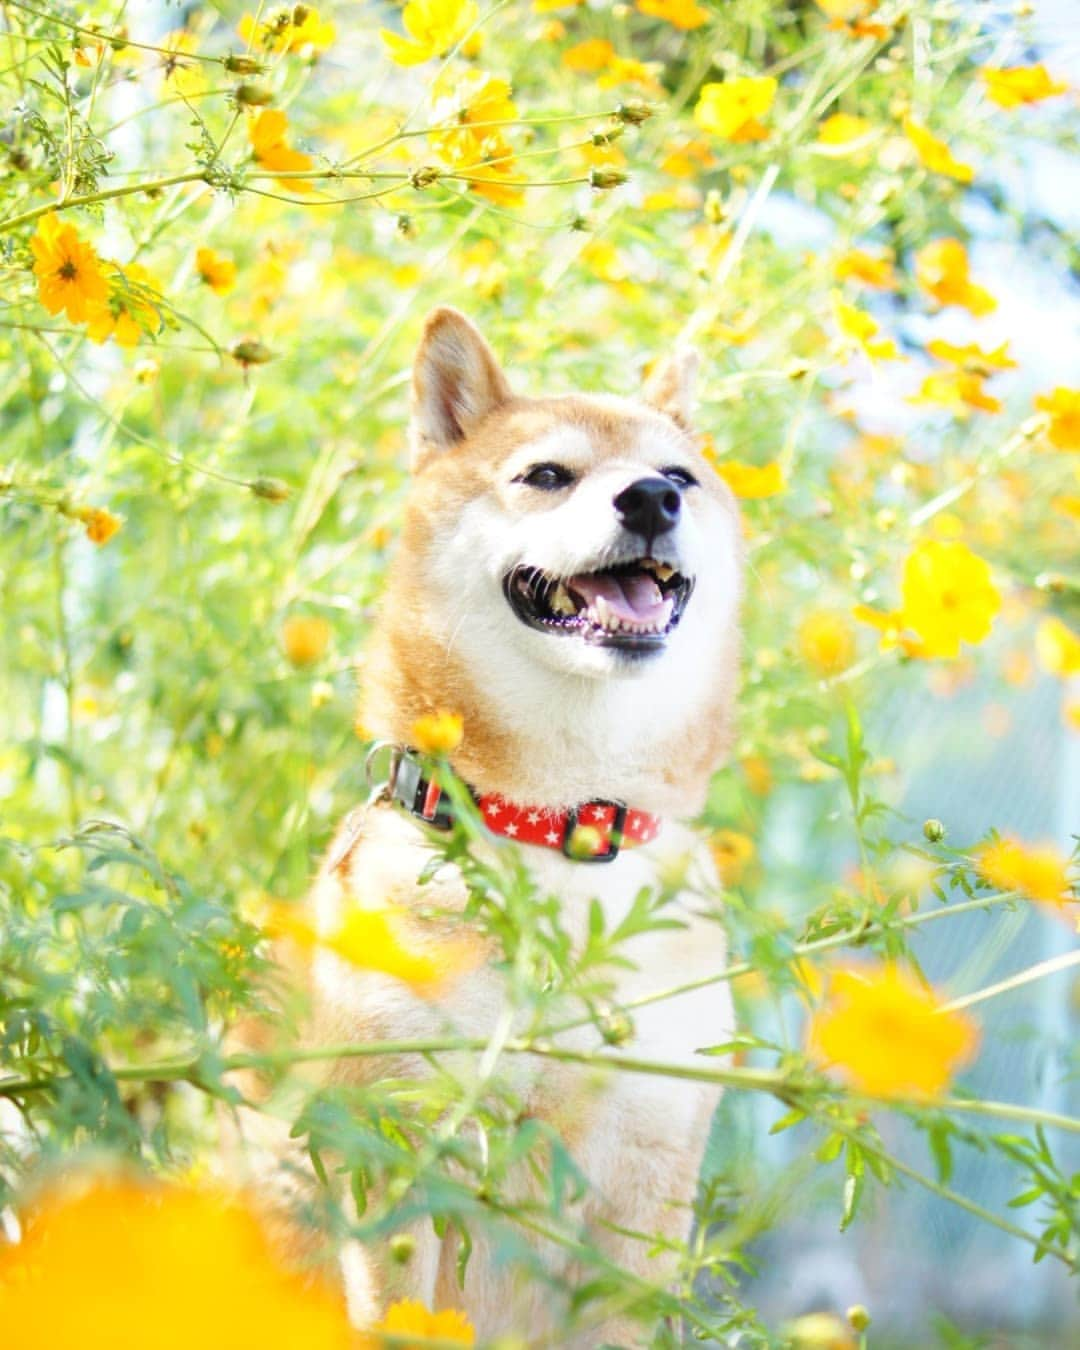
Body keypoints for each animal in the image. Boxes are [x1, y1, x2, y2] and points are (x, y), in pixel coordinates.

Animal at [292, 310, 745, 1344]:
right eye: (546, 475)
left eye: (683, 475)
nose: (652, 497)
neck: (559, 825)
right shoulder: (398, 1134)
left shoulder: (646, 1180)